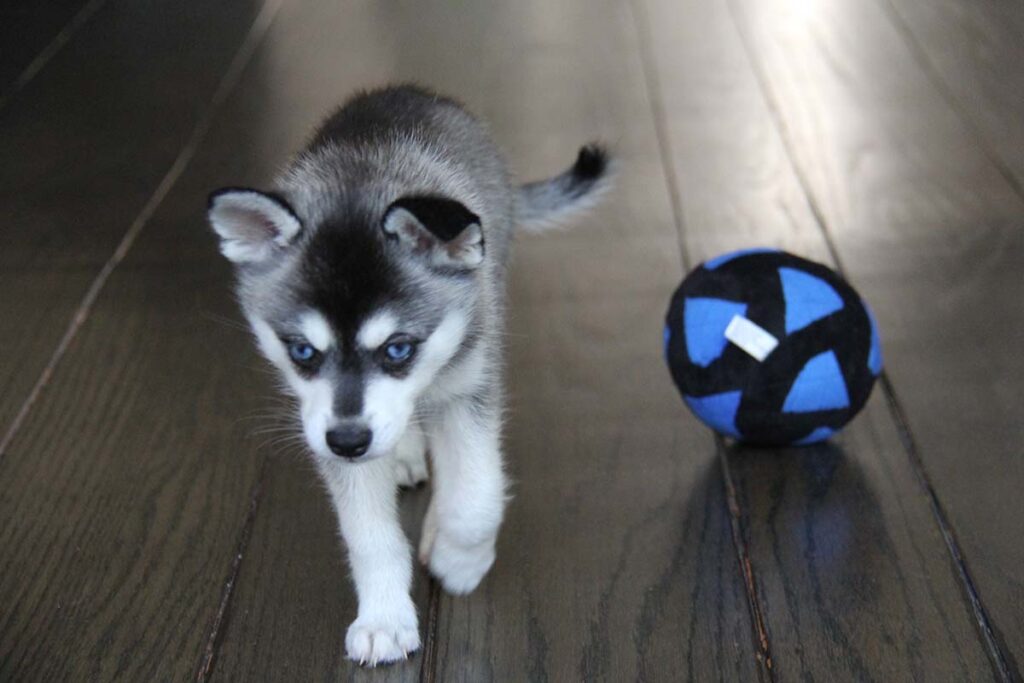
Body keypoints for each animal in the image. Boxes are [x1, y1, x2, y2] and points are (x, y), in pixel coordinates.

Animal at [203, 82, 610, 663]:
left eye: (398, 349)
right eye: (302, 351)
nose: (350, 441)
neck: (359, 182)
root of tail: (405, 90)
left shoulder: (469, 386)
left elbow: (478, 492)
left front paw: (460, 558)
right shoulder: (331, 428)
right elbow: (369, 535)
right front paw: (385, 618)